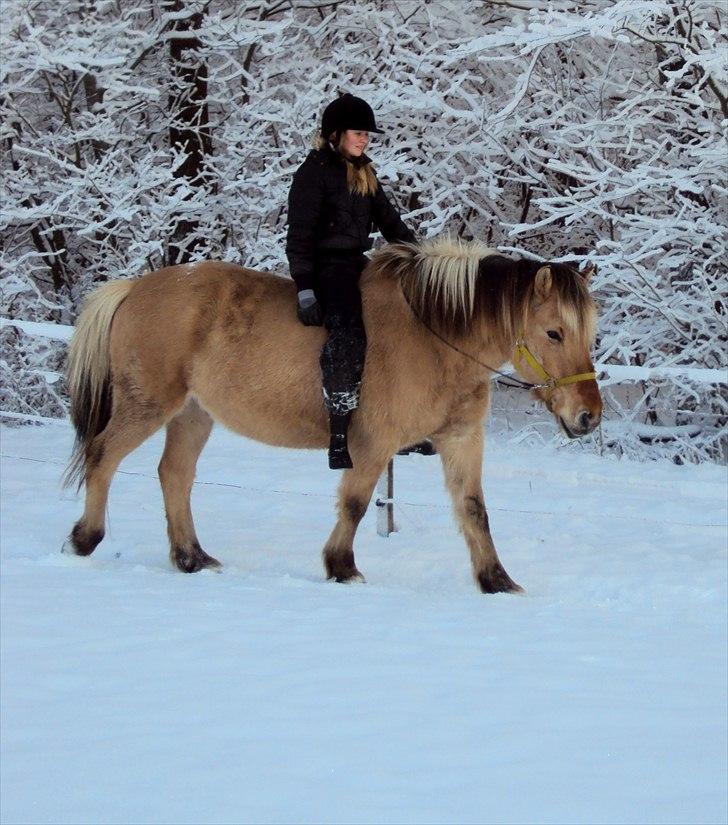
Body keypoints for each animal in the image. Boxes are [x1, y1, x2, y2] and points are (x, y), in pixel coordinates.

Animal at [62, 237, 600, 592]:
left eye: (589, 332)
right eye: (553, 333)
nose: (588, 415)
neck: (434, 338)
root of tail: (133, 288)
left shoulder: (462, 439)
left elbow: (474, 509)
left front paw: (496, 580)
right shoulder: (372, 443)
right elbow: (356, 504)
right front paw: (342, 566)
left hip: (194, 414)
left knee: (174, 474)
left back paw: (191, 557)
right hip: (148, 404)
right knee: (103, 456)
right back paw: (84, 539)